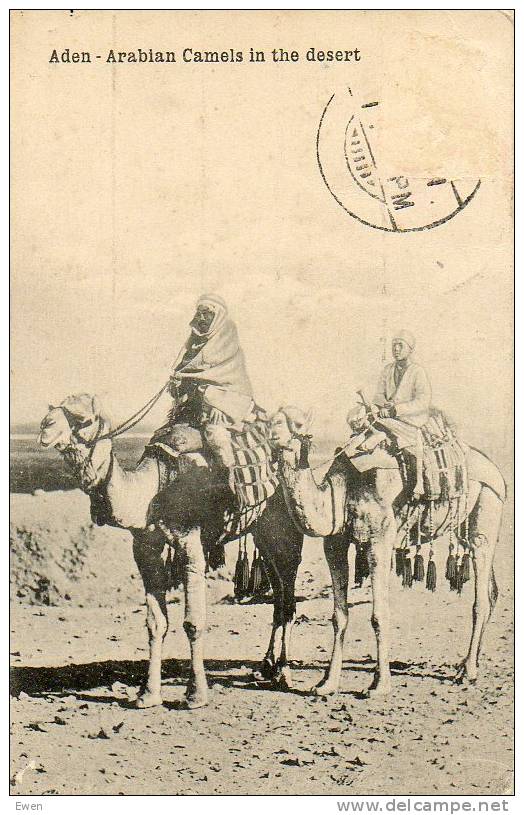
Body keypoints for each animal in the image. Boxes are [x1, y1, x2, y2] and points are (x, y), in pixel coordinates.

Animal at [37, 396, 302, 708]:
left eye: (84, 418)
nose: (45, 426)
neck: (155, 491)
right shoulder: (145, 551)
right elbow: (155, 623)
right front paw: (147, 694)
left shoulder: (192, 548)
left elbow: (193, 622)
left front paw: (196, 694)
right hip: (263, 534)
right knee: (278, 595)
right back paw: (266, 666)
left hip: (286, 527)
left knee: (288, 598)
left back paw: (283, 672)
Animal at [276, 420, 506, 700]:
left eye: (292, 426)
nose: (274, 439)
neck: (340, 492)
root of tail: (494, 468)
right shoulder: (334, 543)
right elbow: (339, 616)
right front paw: (326, 684)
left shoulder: (380, 539)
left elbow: (379, 615)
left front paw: (379, 685)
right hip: (466, 527)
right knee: (491, 591)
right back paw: (468, 665)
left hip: (487, 507)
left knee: (481, 597)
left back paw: (468, 672)